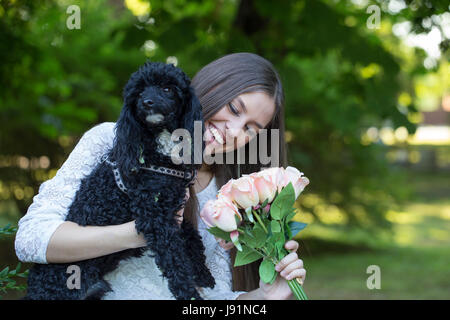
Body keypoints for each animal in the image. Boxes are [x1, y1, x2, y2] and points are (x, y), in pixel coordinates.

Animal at [23, 62, 216, 300]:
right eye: (139, 92)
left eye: (167, 89)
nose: (147, 102)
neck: (158, 152)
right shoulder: (154, 217)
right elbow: (175, 260)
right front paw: (190, 295)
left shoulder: (171, 209)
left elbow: (190, 235)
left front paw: (203, 273)